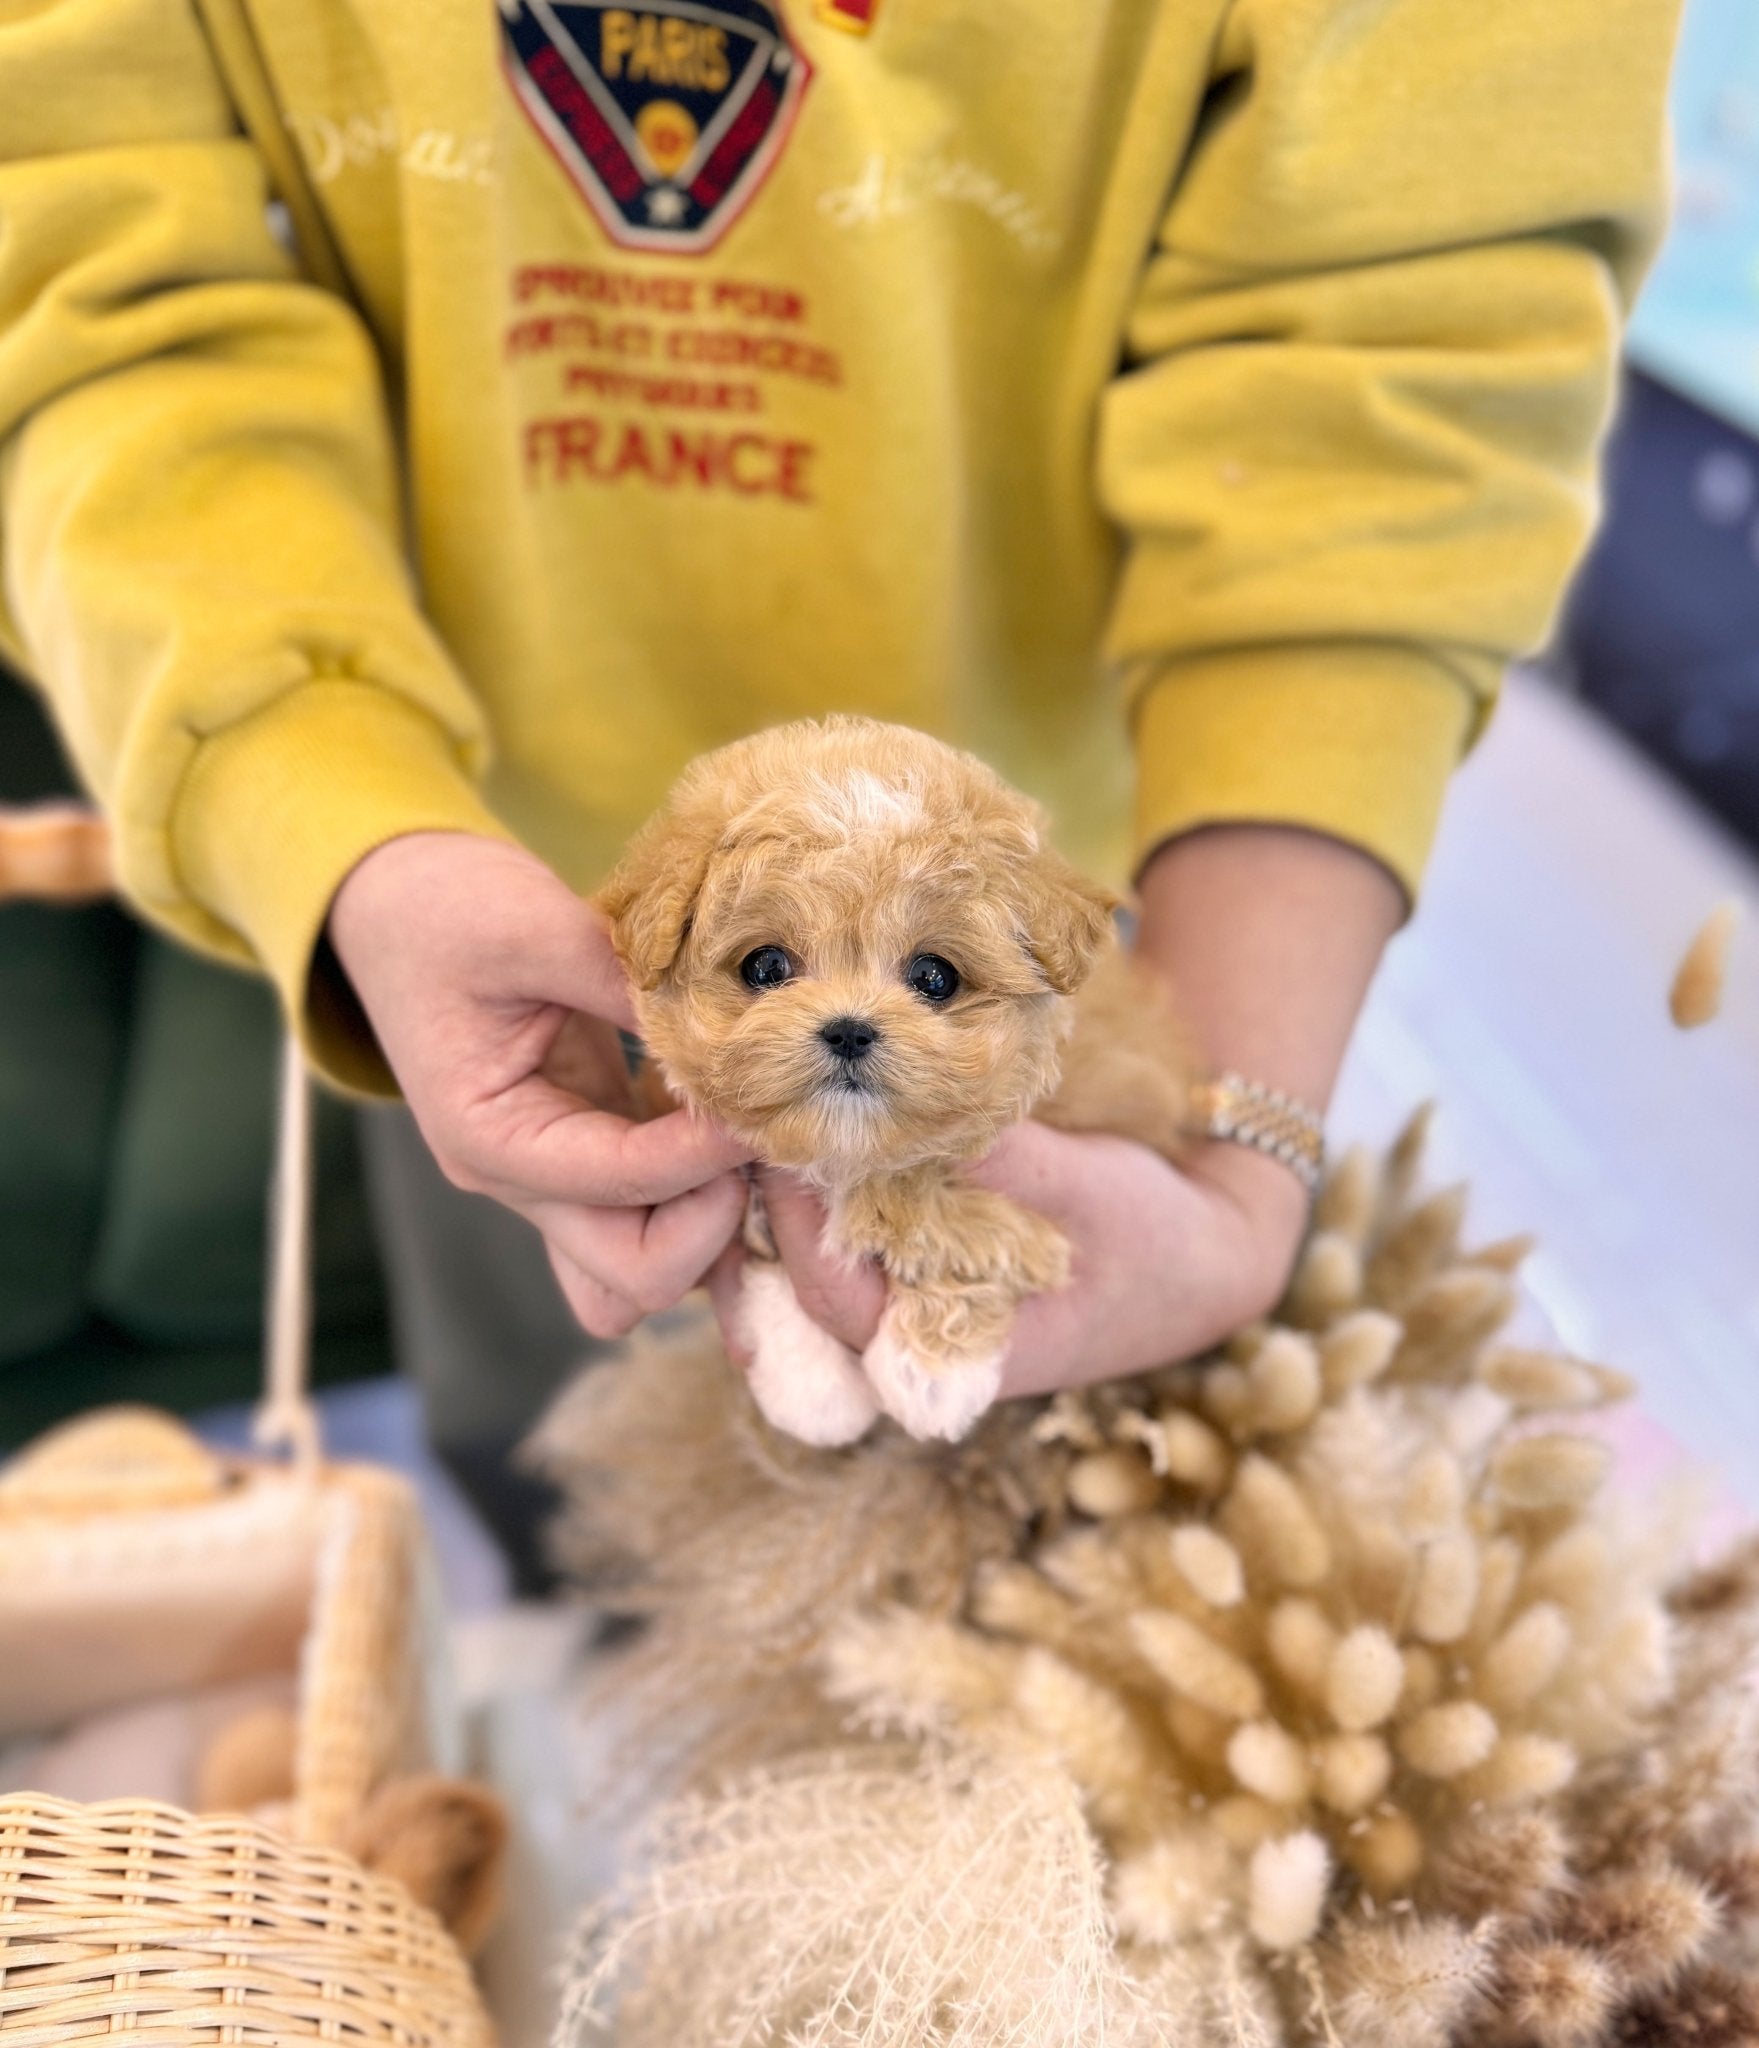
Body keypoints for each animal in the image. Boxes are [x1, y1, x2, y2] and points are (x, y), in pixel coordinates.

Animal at [597, 716, 1187, 1441]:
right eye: (765, 967)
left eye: (934, 977)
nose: (850, 1029)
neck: (852, 1155)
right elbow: (771, 1266)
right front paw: (810, 1387)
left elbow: (954, 1215)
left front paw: (933, 1373)